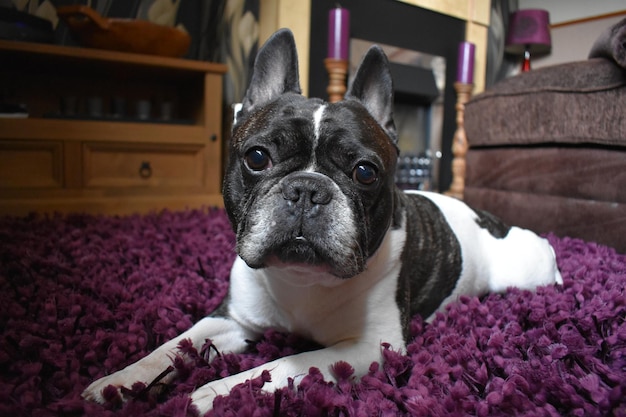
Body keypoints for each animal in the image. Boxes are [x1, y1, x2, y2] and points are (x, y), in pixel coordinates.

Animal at [81, 30, 560, 412]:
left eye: (365, 172)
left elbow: (280, 366)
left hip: (526, 274)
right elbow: (172, 347)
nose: (307, 189)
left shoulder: (370, 346)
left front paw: (215, 393)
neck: (301, 280)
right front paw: (119, 383)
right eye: (257, 157)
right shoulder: (230, 320)